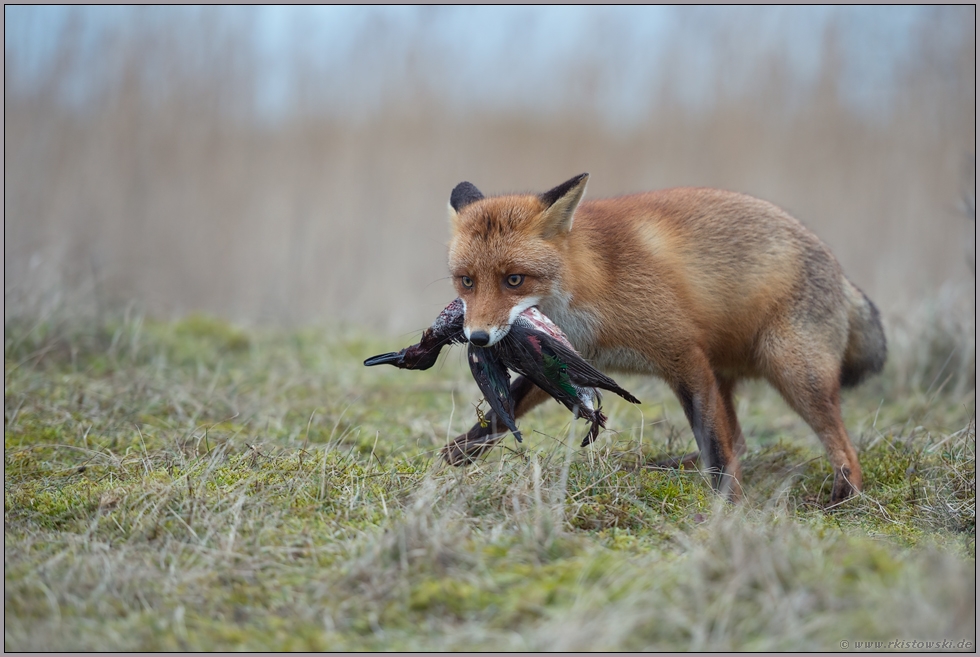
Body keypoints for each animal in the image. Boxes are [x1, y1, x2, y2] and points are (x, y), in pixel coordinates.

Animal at [444, 173, 888, 502]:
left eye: (514, 280)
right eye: (467, 281)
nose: (477, 337)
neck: (594, 280)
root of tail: (839, 271)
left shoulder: (681, 354)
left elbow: (715, 443)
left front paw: (728, 507)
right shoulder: (566, 359)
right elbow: (502, 413)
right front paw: (455, 455)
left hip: (791, 370)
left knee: (841, 446)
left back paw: (844, 497)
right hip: (723, 373)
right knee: (741, 441)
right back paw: (672, 466)